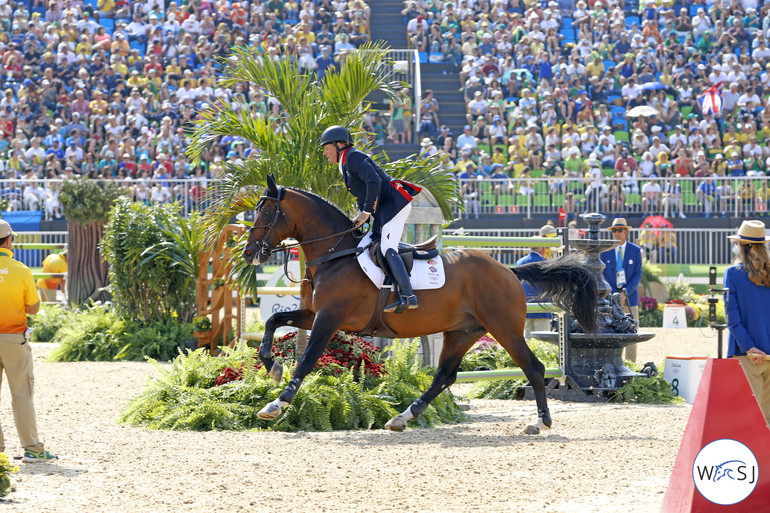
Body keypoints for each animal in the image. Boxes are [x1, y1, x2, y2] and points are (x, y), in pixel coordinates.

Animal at [243, 175, 596, 432]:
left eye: (265, 211)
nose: (248, 253)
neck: (336, 253)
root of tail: (507, 269)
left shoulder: (329, 318)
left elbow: (306, 359)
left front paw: (276, 404)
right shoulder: (314, 313)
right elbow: (273, 322)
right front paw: (272, 367)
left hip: (504, 328)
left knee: (533, 367)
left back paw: (541, 422)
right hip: (462, 332)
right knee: (444, 376)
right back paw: (402, 417)